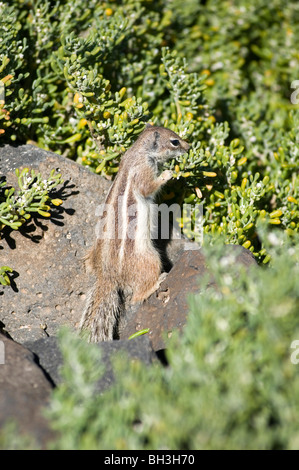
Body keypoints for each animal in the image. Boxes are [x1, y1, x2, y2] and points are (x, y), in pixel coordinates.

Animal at [80, 125, 190, 342]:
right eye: (174, 141)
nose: (189, 147)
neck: (140, 152)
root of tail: (108, 276)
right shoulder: (143, 172)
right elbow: (149, 187)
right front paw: (167, 174)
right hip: (150, 260)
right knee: (137, 296)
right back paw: (156, 283)